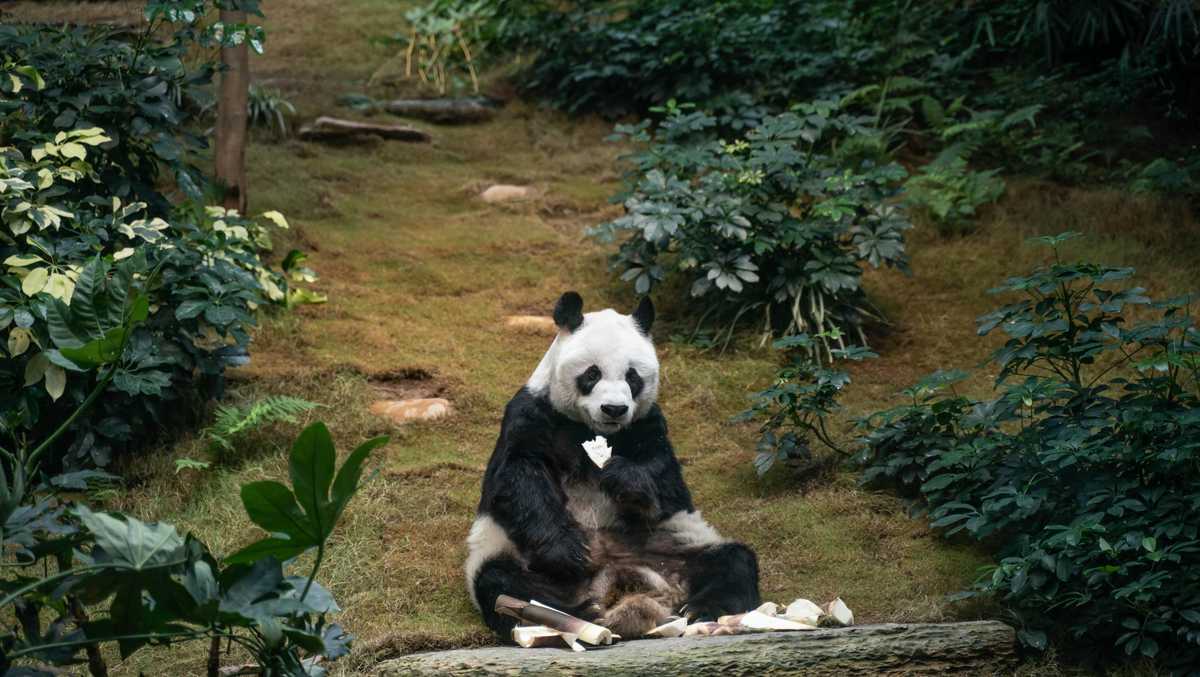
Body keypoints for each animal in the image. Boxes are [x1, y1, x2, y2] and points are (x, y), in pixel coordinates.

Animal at [465, 291, 761, 640]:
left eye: (633, 377)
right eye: (592, 374)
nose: (614, 409)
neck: (591, 429)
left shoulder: (647, 422)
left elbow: (665, 478)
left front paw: (624, 479)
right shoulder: (531, 413)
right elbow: (518, 477)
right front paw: (569, 550)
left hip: (676, 545)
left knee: (731, 560)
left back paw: (701, 609)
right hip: (515, 554)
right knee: (501, 581)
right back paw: (574, 613)